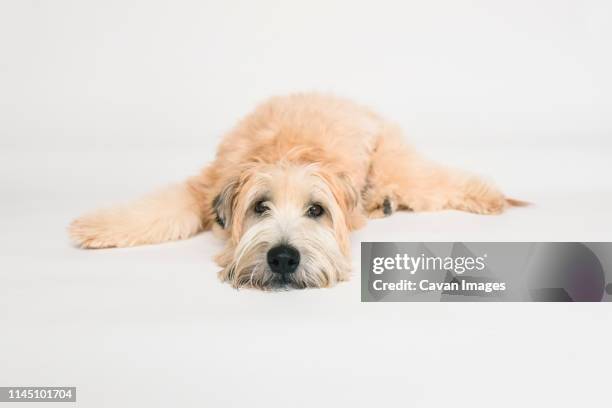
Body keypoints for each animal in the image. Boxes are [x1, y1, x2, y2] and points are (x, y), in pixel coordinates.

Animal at [70, 92, 520, 290]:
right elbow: (157, 209)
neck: (286, 152)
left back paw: (490, 196)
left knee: (435, 180)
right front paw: (95, 228)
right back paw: (380, 203)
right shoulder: (204, 187)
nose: (283, 258)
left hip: (397, 164)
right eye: (260, 206)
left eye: (315, 210)